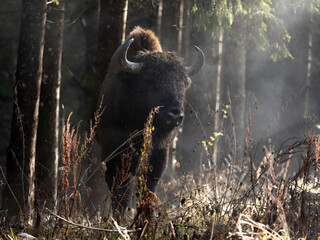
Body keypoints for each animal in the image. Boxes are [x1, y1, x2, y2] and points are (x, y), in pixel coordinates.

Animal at [95, 26, 205, 212]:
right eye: (150, 81)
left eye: (183, 83)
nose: (174, 115)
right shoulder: (113, 150)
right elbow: (120, 191)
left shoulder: (160, 152)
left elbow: (149, 187)